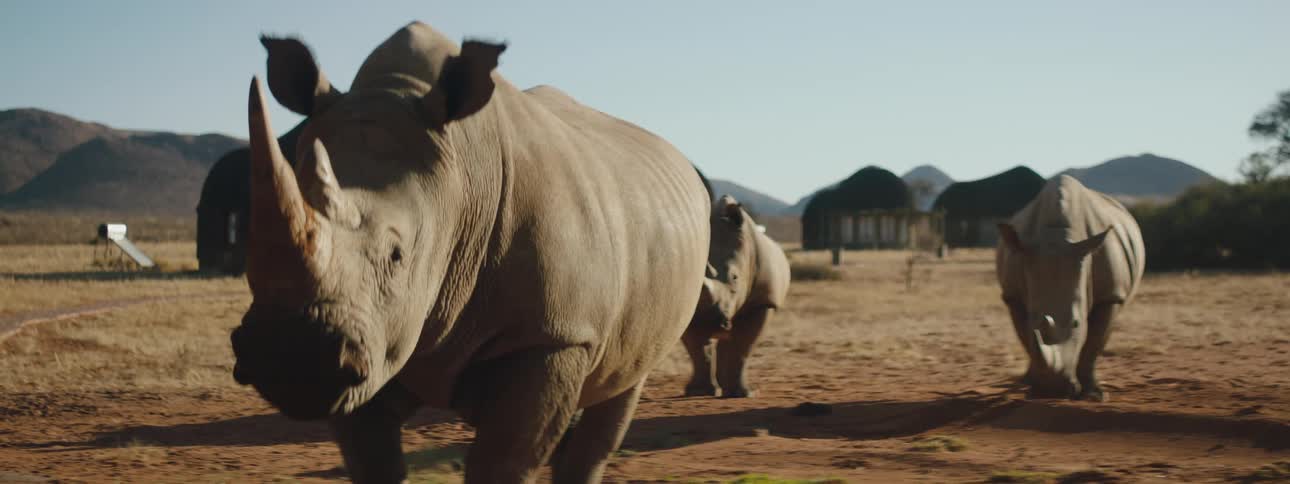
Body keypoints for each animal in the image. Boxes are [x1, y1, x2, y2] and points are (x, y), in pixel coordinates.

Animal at [228, 22, 711, 483]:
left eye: (397, 254)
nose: (289, 353)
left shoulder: (553, 334)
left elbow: (501, 463)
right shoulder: (375, 336)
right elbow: (373, 461)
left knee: (616, 397)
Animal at [683, 195, 791, 398]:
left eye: (735, 277)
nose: (707, 323)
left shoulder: (762, 301)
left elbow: (742, 348)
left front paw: (741, 394)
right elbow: (697, 351)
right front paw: (697, 392)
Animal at [996, 175, 1144, 401]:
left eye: (1076, 323)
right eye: (1032, 318)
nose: (1050, 391)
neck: (1058, 235)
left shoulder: (1111, 296)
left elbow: (1093, 345)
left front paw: (1094, 395)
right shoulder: (1012, 296)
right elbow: (1025, 337)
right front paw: (1033, 388)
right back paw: (1026, 382)